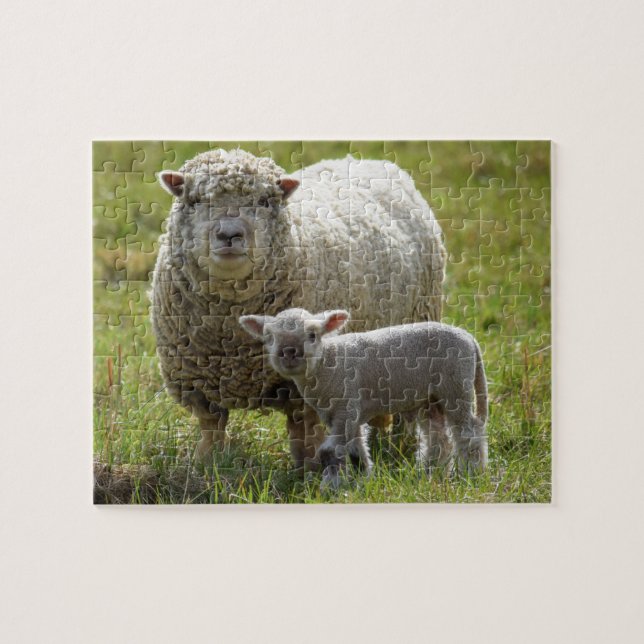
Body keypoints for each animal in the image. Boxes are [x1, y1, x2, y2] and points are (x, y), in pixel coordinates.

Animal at [151, 148, 446, 470]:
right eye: (194, 201)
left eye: (264, 202)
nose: (229, 234)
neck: (231, 332)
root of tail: (365, 159)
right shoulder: (197, 383)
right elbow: (211, 428)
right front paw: (207, 464)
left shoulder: (309, 380)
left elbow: (305, 431)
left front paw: (312, 469)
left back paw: (401, 446)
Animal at [238, 308, 488, 489]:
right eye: (270, 337)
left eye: (312, 335)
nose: (289, 352)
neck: (328, 363)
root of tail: (470, 338)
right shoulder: (339, 414)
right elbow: (356, 450)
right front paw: (363, 481)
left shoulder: (346, 408)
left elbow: (329, 452)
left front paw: (330, 488)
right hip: (432, 398)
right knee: (440, 439)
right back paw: (431, 474)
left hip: (455, 387)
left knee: (468, 433)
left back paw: (472, 474)